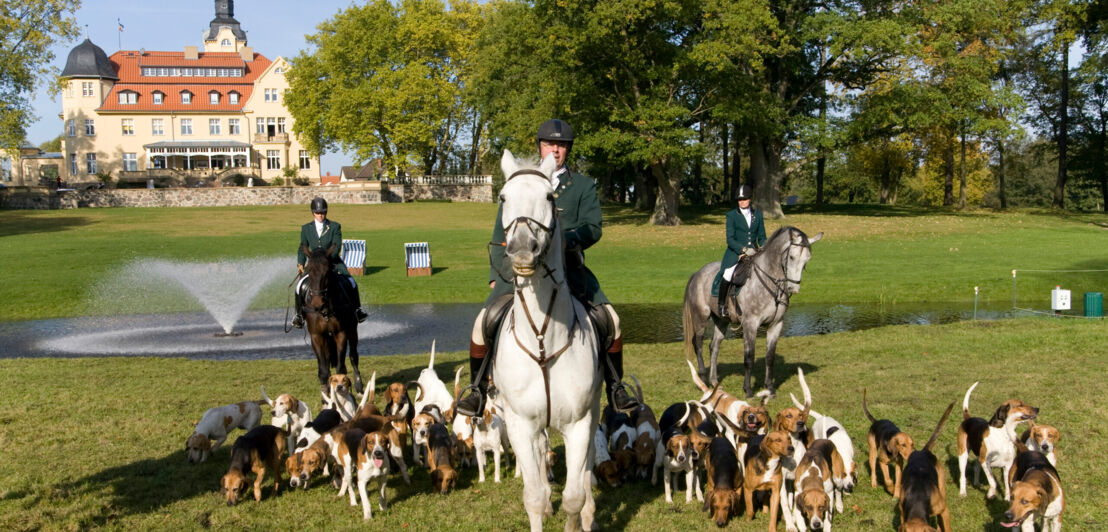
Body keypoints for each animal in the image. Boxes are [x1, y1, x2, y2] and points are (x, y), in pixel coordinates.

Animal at [299, 246, 363, 394]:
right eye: (309, 270)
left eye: (327, 271)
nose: (317, 303)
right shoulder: (317, 336)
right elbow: (323, 369)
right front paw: (326, 392)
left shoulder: (341, 333)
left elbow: (341, 367)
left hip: (352, 329)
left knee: (353, 355)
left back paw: (358, 384)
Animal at [494, 149, 602, 532]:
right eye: (503, 198)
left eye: (549, 197)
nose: (522, 249)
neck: (542, 336)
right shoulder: (520, 425)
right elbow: (535, 497)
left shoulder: (579, 423)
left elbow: (574, 496)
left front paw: (579, 514)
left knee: (585, 469)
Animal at [678, 226, 819, 396]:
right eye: (791, 257)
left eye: (806, 260)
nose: (793, 288)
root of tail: (698, 273)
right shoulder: (750, 324)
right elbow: (749, 358)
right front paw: (748, 389)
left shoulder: (776, 324)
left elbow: (770, 357)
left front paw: (769, 388)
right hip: (701, 317)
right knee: (698, 344)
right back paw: (704, 381)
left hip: (721, 320)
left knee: (714, 346)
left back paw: (714, 381)